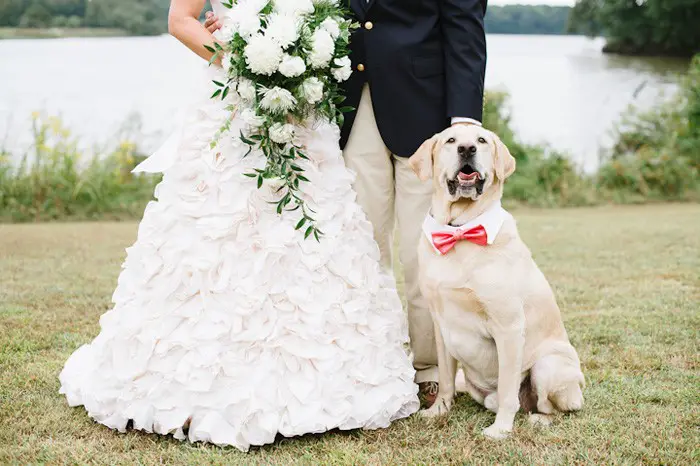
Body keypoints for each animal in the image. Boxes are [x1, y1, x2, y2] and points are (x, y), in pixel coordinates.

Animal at [410, 123, 584, 436]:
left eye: (481, 140)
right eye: (450, 140)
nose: (467, 149)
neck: (461, 229)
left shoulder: (508, 327)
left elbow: (506, 387)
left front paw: (501, 430)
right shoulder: (440, 324)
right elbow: (445, 378)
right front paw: (438, 410)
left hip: (549, 365)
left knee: (551, 407)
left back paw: (538, 419)